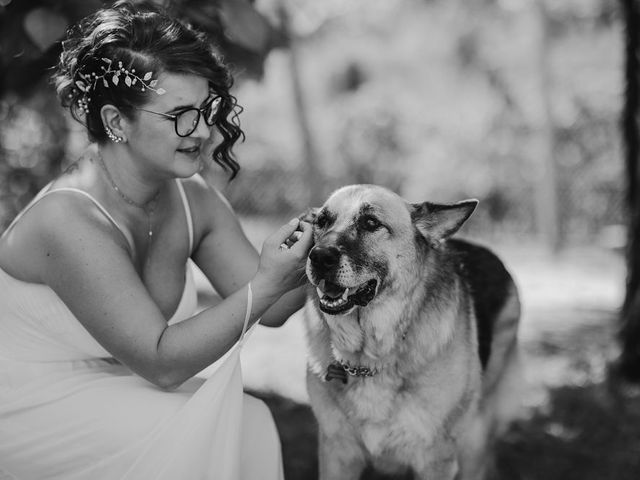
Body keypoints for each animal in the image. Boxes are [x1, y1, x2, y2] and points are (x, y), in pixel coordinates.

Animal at [304, 185, 520, 480]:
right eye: (322, 221)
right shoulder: (336, 454)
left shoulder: (435, 459)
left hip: (474, 438)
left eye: (370, 223)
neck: (371, 356)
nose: (319, 257)